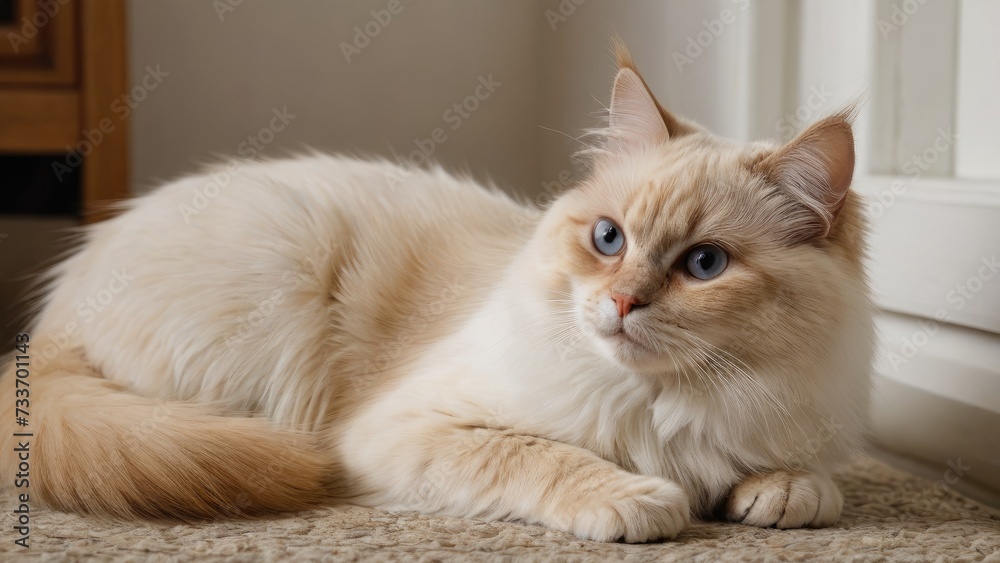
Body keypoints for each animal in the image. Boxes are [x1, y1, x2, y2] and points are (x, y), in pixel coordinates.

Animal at [0, 44, 872, 540]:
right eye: (608, 239)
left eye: (704, 265)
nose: (623, 303)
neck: (667, 402)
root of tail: (48, 323)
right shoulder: (414, 426)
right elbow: (543, 454)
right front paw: (642, 500)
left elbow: (811, 481)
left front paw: (779, 493)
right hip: (284, 266)